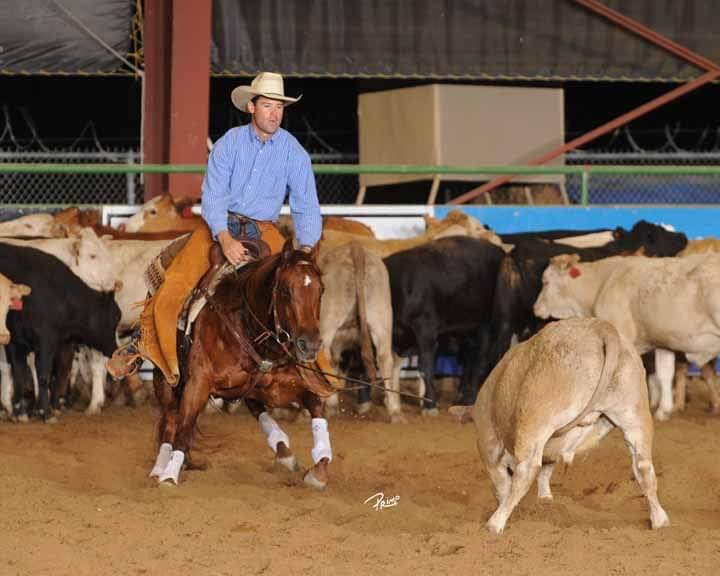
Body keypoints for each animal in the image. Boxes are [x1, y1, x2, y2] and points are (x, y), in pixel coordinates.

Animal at [0, 244, 121, 421]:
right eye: (116, 317)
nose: (115, 349)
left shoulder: (16, 340)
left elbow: (20, 373)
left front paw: (21, 412)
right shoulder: (44, 340)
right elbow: (43, 374)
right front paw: (45, 412)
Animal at [149, 239, 334, 488]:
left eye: (321, 289)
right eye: (286, 290)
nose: (310, 345)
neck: (247, 326)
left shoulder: (280, 387)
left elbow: (316, 406)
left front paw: (319, 469)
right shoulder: (198, 383)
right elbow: (184, 427)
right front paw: (169, 475)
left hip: (249, 390)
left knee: (259, 411)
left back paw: (284, 452)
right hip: (166, 380)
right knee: (170, 420)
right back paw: (160, 467)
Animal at [384, 236, 506, 413]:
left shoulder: (425, 329)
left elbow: (425, 366)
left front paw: (429, 404)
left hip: (487, 325)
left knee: (482, 358)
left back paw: (470, 398)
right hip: (465, 328)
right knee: (469, 356)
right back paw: (462, 393)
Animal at [450, 318, 669, 534]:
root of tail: (600, 328)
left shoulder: (489, 444)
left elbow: (503, 481)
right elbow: (546, 471)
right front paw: (546, 500)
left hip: (537, 418)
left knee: (527, 470)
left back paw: (495, 524)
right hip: (634, 416)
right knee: (644, 468)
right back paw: (659, 520)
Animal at [534, 252, 720, 420]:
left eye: (545, 281)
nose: (535, 308)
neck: (600, 284)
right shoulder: (662, 341)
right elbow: (664, 373)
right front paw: (664, 411)